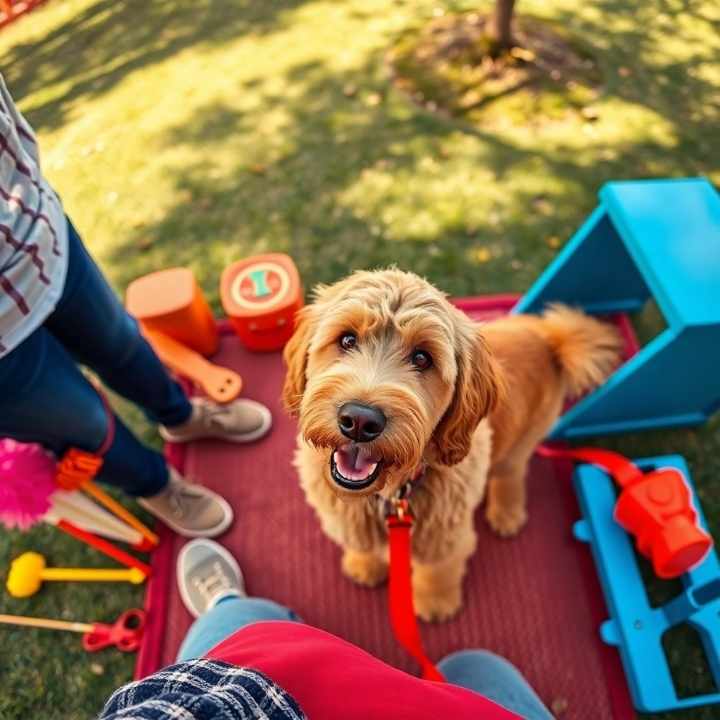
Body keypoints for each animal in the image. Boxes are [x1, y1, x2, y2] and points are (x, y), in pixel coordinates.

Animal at [284, 268, 620, 620]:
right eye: (347, 339)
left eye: (422, 358)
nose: (360, 421)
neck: (391, 494)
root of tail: (551, 340)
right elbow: (359, 541)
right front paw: (363, 564)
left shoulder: (446, 536)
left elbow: (438, 569)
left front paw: (435, 602)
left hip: (527, 435)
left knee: (510, 473)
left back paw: (507, 511)